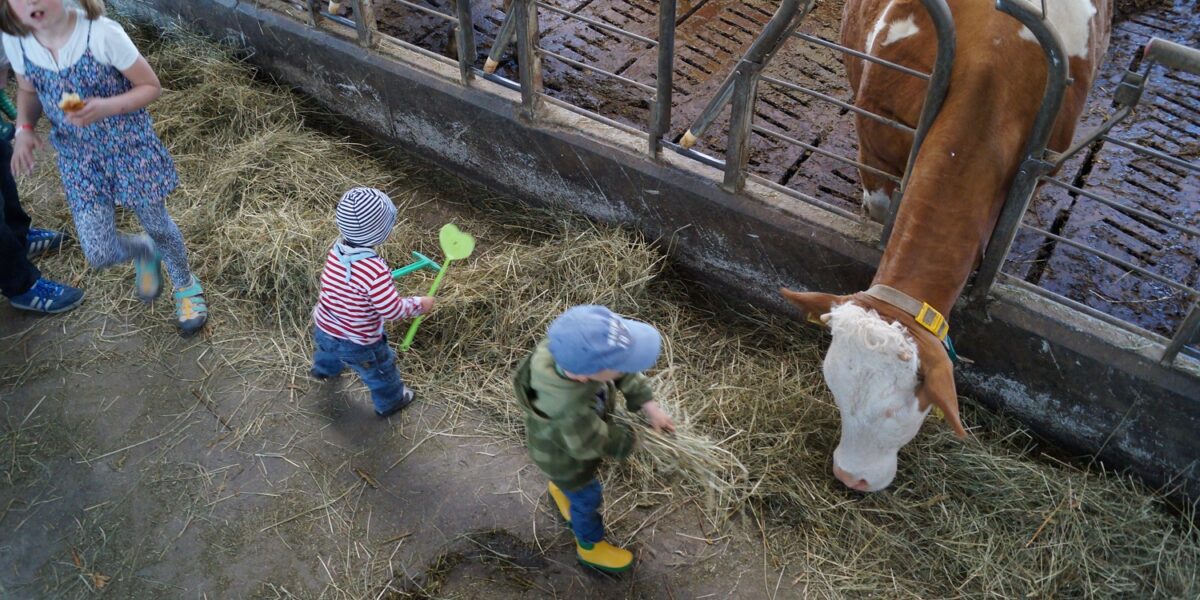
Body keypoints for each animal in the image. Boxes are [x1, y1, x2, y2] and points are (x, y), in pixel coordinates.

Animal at [783, 0, 1112, 492]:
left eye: (896, 411)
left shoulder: (1040, 170)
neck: (993, 62)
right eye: (835, 389)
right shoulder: (875, 144)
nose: (850, 477)